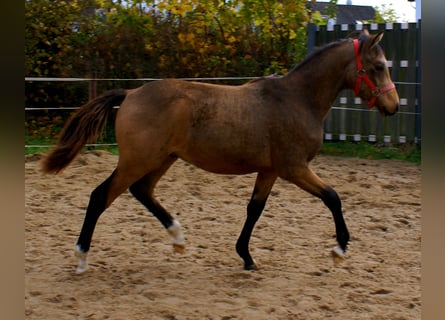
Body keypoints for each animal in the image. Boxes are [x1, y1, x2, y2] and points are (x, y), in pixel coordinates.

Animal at [40, 29, 398, 272]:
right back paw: (81, 257)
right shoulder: (294, 168)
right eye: (379, 65)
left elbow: (254, 210)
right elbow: (333, 197)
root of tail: (130, 94)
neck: (297, 99)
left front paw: (247, 257)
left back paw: (178, 238)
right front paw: (340, 248)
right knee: (101, 195)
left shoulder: (269, 170)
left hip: (162, 159)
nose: (393, 106)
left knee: (142, 191)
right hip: (137, 160)